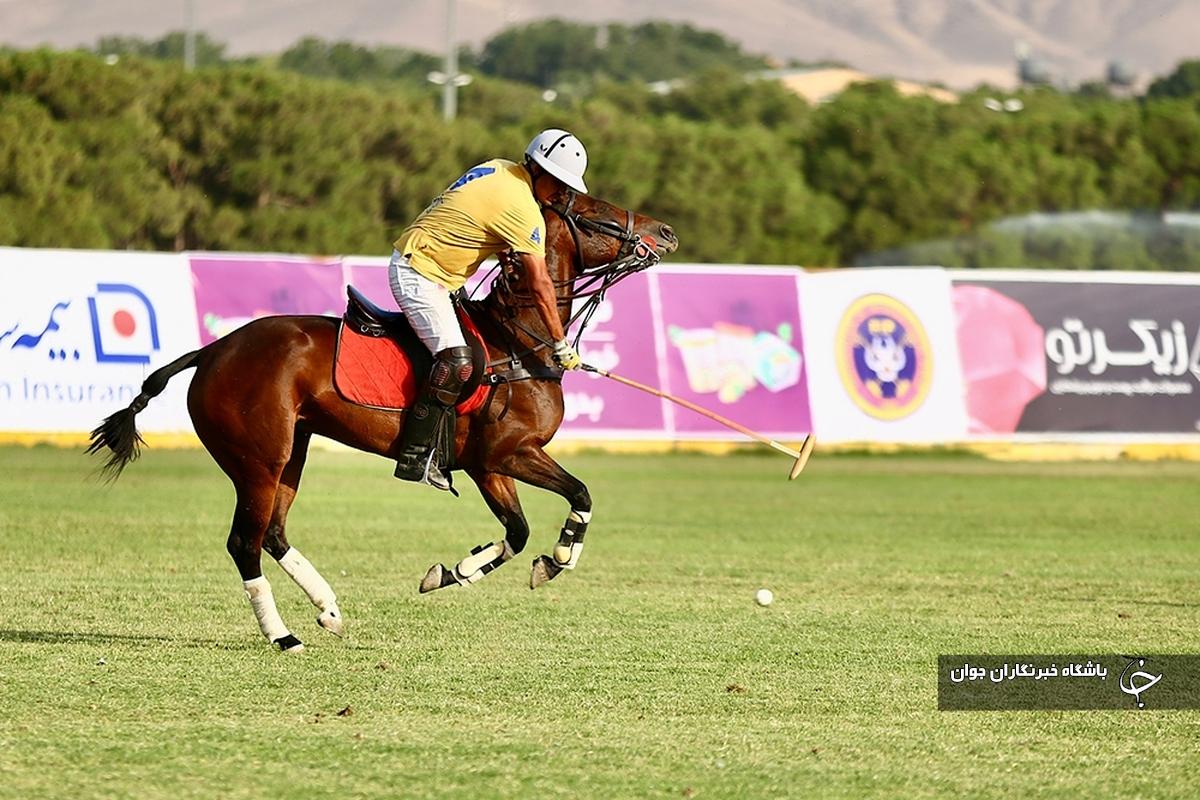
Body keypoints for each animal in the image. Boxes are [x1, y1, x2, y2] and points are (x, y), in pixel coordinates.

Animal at [87, 190, 676, 652]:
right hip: (258, 459)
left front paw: (453, 572)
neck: (518, 341)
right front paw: (557, 559)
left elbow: (518, 530)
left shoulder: (488, 464)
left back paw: (328, 610)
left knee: (273, 532)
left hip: (291, 451)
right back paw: (282, 635)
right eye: (596, 212)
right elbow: (578, 494)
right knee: (243, 542)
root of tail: (211, 351)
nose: (666, 232)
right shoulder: (508, 453)